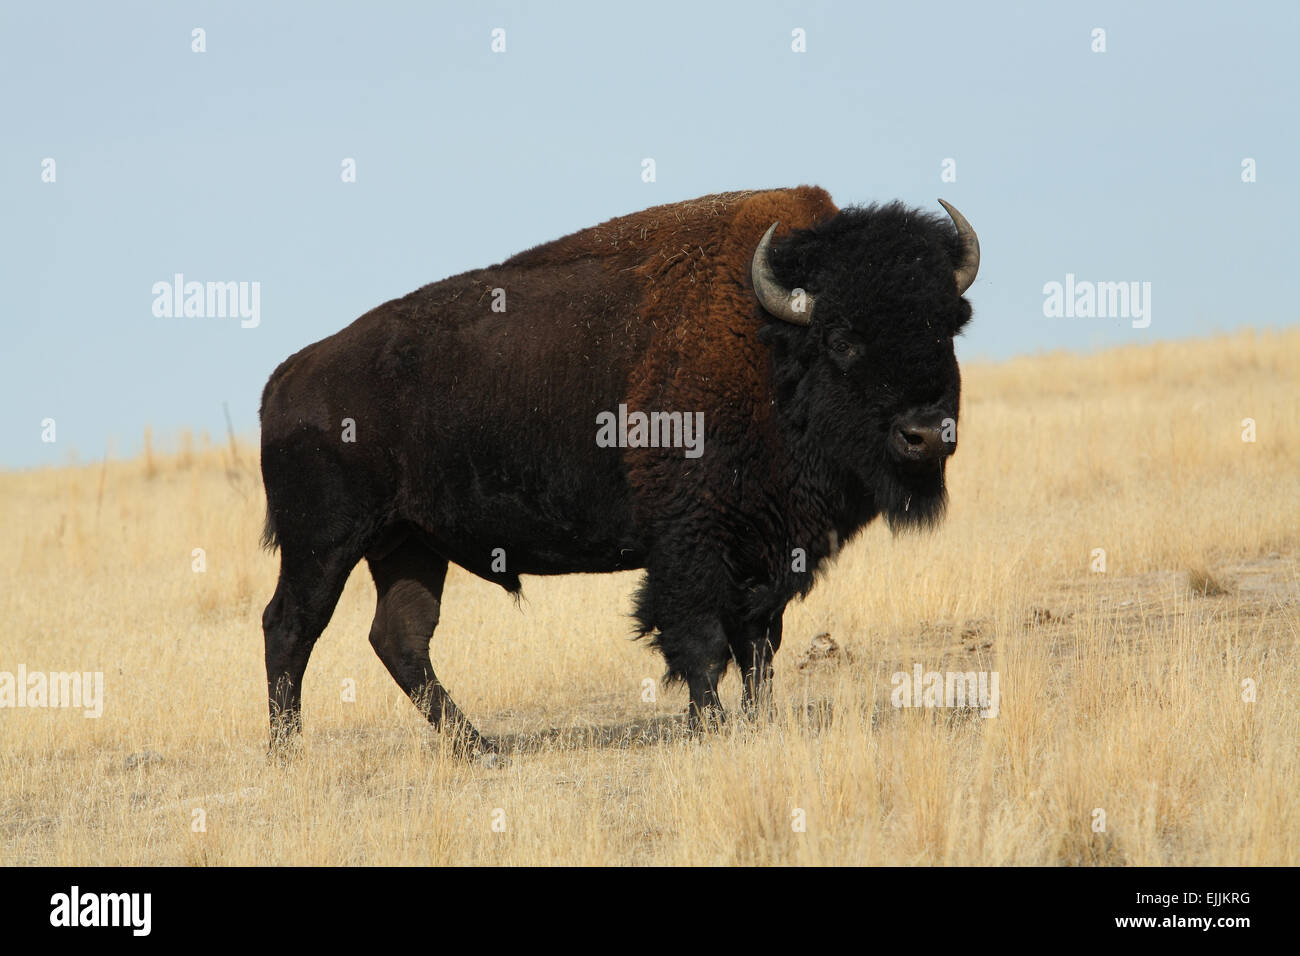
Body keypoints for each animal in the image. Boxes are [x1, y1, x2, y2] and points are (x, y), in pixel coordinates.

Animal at [258, 186, 979, 756]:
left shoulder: (768, 548)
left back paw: (479, 748)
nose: (924, 434)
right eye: (843, 338)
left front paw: (759, 722)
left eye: (947, 327)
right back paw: (289, 752)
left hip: (408, 546)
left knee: (401, 638)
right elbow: (700, 639)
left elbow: (759, 643)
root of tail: (287, 376)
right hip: (324, 543)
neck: (773, 346)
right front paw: (711, 726)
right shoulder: (692, 543)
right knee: (290, 627)